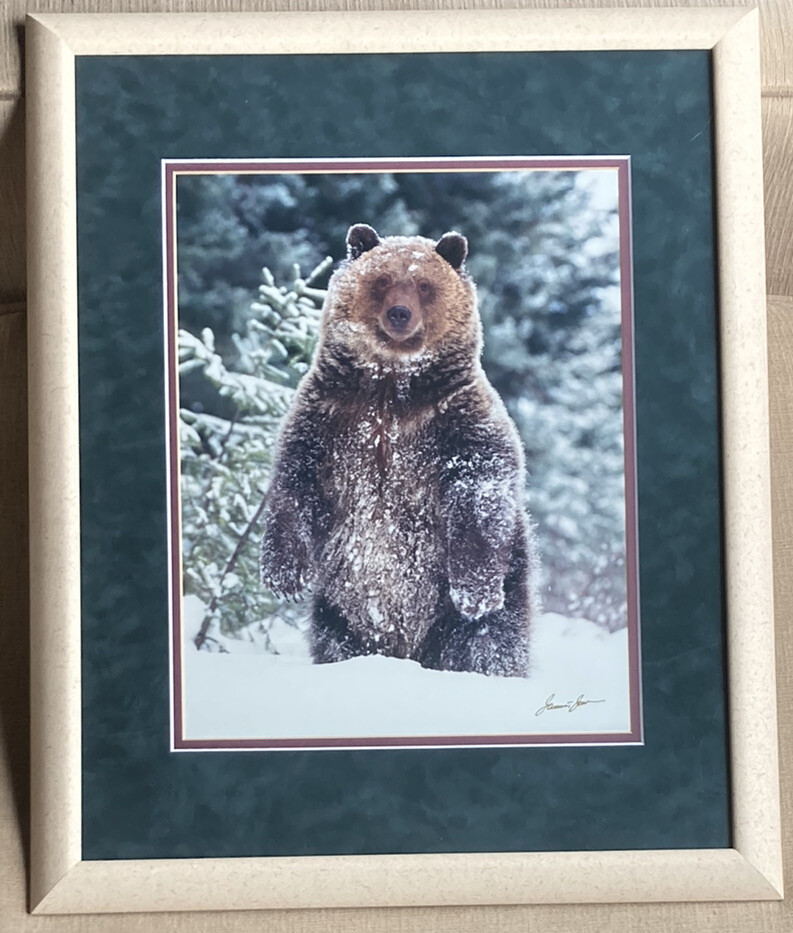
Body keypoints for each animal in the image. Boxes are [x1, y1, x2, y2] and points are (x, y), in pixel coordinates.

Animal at [260, 223, 538, 677]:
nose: (400, 313)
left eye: (424, 284)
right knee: (334, 640)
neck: (390, 386)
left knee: (487, 643)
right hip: (339, 609)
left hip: (494, 590)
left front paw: (475, 591)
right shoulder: (329, 417)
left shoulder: (455, 419)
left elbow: (480, 489)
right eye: (383, 280)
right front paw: (283, 575)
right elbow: (297, 483)